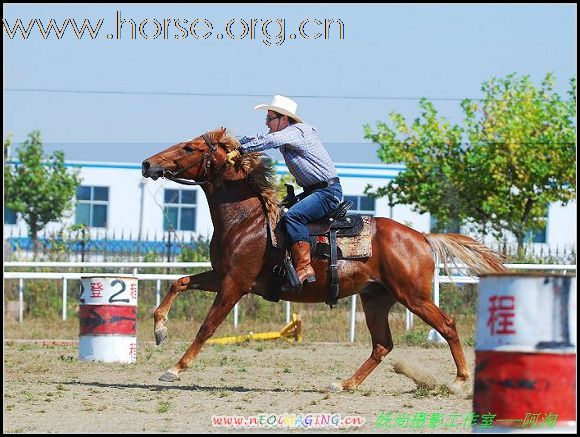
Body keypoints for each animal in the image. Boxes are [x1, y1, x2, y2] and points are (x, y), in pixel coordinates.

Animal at [142, 127, 508, 390]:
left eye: (190, 148)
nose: (147, 164)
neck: (247, 221)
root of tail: (421, 237)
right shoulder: (220, 275)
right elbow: (179, 282)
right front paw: (159, 330)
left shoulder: (235, 283)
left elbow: (207, 327)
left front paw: (174, 369)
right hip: (376, 298)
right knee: (382, 345)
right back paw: (346, 384)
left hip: (413, 296)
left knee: (446, 325)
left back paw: (459, 381)